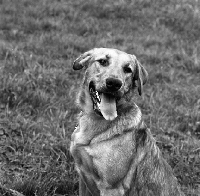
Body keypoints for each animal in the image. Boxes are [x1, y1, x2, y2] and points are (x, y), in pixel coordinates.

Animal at [70, 47, 184, 196]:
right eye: (103, 61)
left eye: (128, 69)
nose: (114, 83)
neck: (95, 120)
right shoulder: (82, 174)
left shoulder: (111, 188)